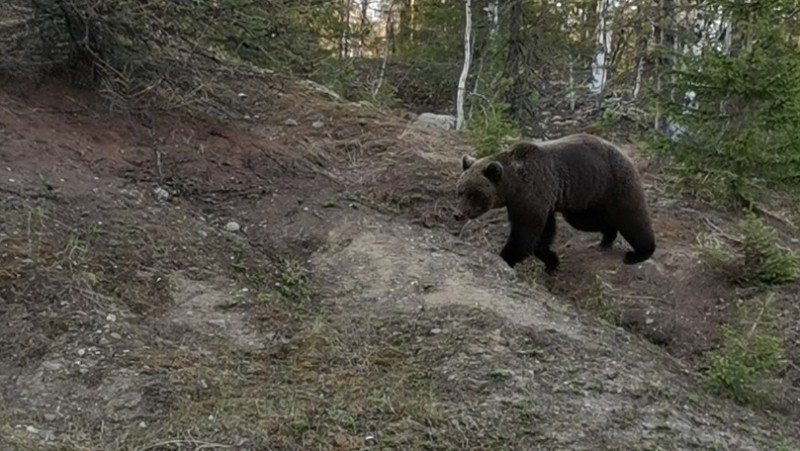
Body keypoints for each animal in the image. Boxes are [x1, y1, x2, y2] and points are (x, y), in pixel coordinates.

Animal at [454, 132, 652, 274]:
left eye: (473, 194)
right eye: (460, 191)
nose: (458, 214)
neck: (513, 186)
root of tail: (624, 153)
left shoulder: (532, 194)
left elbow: (524, 235)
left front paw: (505, 258)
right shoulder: (541, 201)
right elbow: (544, 234)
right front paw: (551, 262)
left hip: (615, 184)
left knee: (632, 218)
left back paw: (638, 254)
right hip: (584, 196)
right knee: (587, 221)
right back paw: (607, 238)